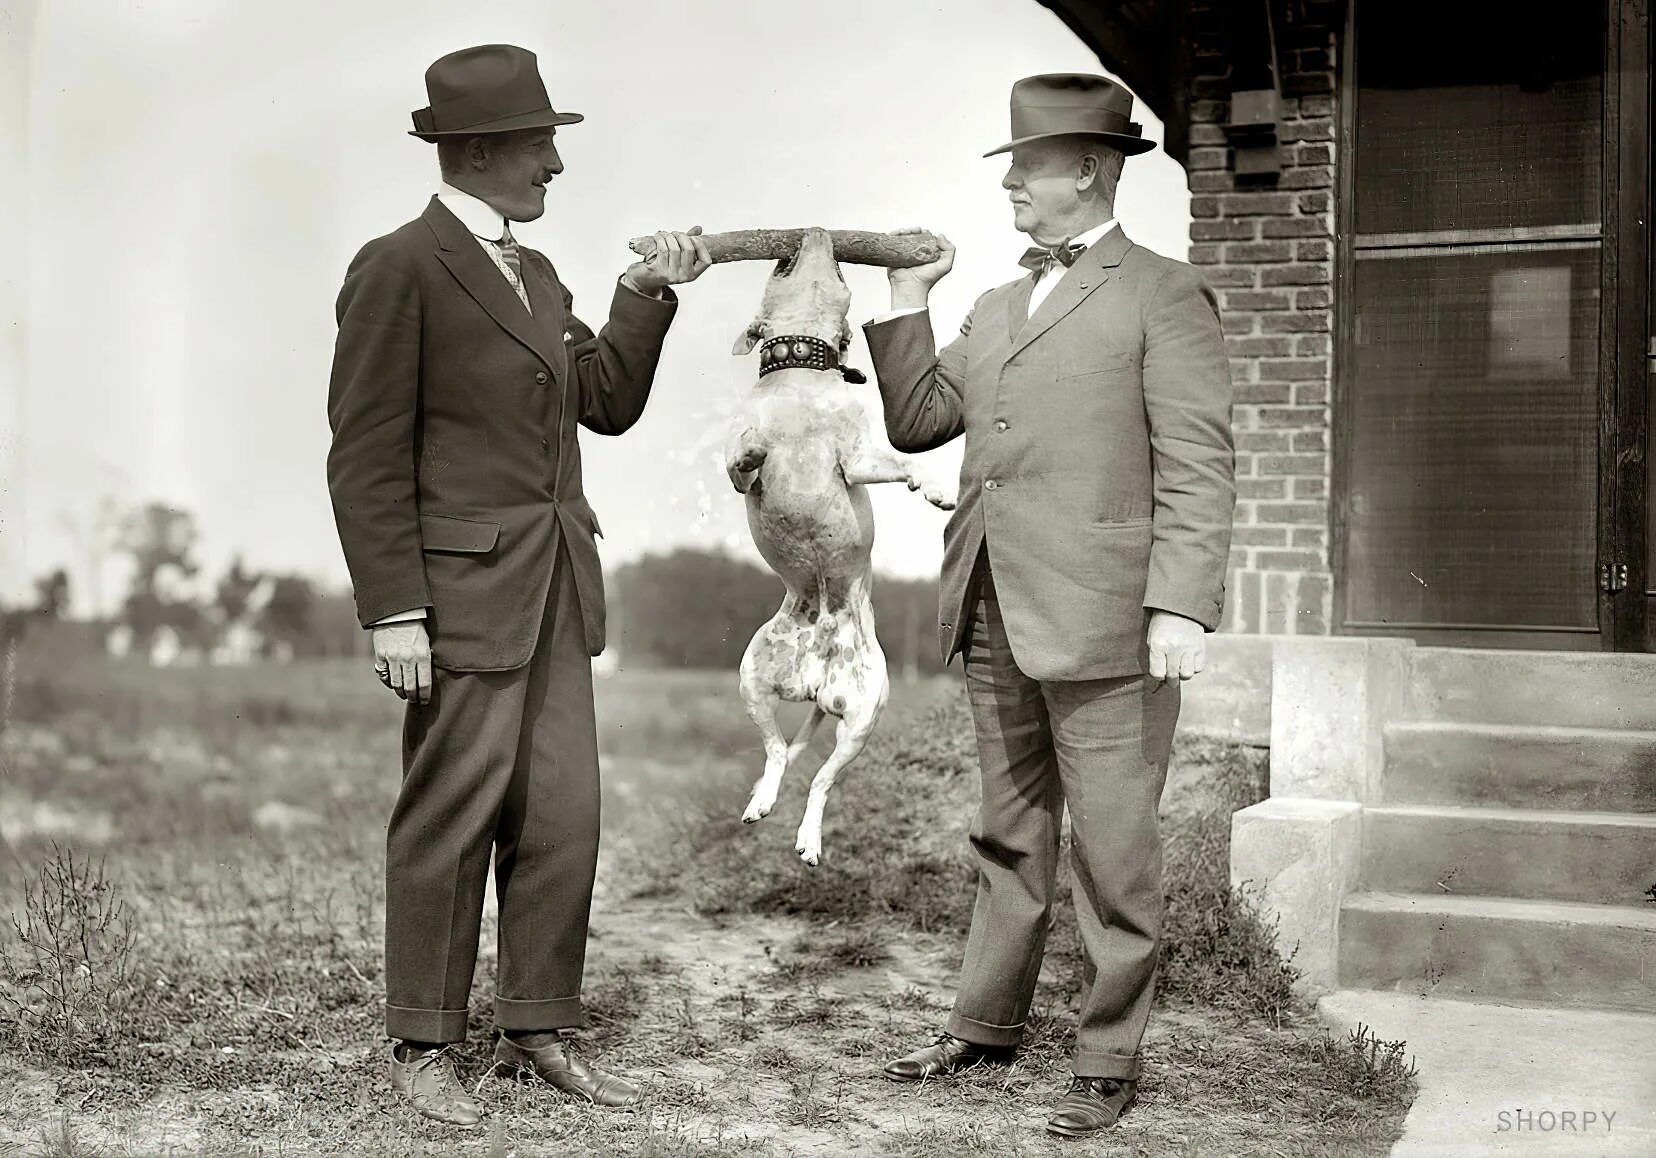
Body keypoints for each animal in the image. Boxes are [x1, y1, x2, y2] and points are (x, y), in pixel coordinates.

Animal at [728, 226, 960, 868]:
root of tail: (814, 682)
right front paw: (750, 454)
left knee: (820, 779)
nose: (812, 230)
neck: (801, 376)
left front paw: (936, 488)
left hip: (859, 721)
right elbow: (738, 464)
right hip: (753, 679)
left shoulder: (857, 458)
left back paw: (808, 837)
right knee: (777, 751)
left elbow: (904, 462)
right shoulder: (744, 457)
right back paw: (761, 799)